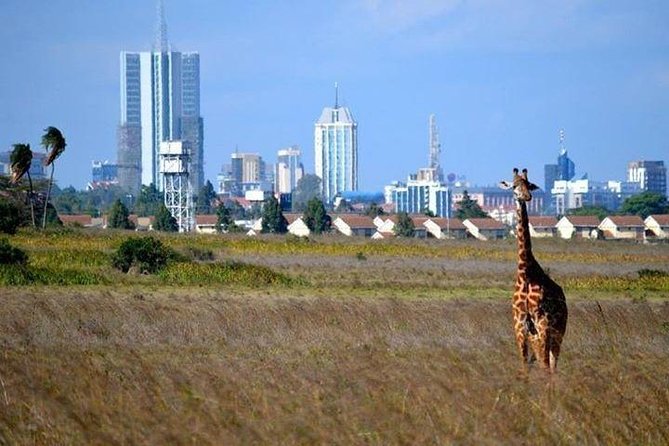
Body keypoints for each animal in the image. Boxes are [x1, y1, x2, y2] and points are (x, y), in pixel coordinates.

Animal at [500, 168, 568, 373]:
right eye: (514, 186)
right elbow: (524, 365)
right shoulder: (520, 327)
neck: (525, 273)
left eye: (529, 185)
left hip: (557, 330)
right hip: (538, 334)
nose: (527, 197)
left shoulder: (542, 323)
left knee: (551, 364)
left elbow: (544, 364)